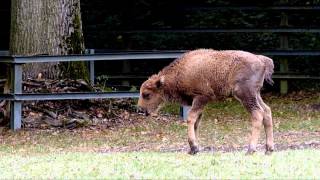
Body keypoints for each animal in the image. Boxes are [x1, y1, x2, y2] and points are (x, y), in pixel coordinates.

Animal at [136, 49, 274, 155]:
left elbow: (191, 118)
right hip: (256, 94)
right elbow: (196, 123)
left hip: (245, 95)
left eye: (146, 94)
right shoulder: (198, 104)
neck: (183, 70)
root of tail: (261, 60)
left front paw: (194, 148)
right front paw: (193, 149)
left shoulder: (200, 98)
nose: (140, 109)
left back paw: (250, 150)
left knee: (258, 114)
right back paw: (269, 149)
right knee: (266, 111)